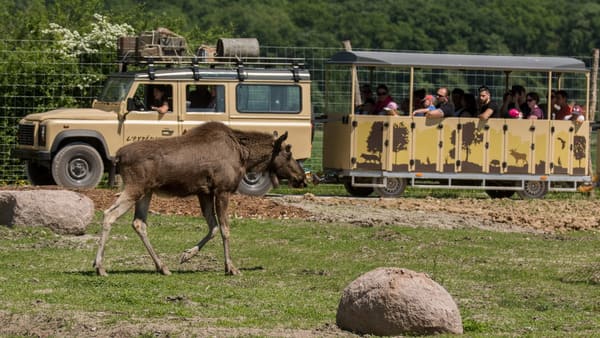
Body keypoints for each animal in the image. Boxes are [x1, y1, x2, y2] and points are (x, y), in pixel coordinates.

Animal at [96, 121, 310, 274]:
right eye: (288, 152)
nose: (302, 177)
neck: (245, 157)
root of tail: (117, 157)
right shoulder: (222, 190)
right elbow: (225, 229)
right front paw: (231, 267)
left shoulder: (204, 192)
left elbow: (213, 227)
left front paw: (186, 255)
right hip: (135, 187)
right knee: (109, 214)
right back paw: (99, 266)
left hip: (146, 191)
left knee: (139, 223)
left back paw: (162, 266)